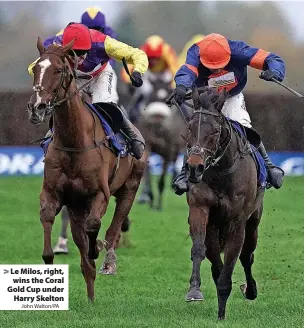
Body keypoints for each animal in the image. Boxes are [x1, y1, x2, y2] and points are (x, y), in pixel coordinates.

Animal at [26, 37, 145, 300]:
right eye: (36, 68)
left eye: (58, 70)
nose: (37, 107)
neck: (75, 142)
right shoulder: (56, 193)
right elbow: (48, 219)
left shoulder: (99, 194)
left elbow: (94, 226)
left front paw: (96, 249)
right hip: (76, 205)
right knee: (83, 249)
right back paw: (90, 293)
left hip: (129, 188)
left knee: (113, 229)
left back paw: (107, 261)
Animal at [183, 88, 264, 320]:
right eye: (190, 127)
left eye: (215, 130)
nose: (194, 168)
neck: (221, 173)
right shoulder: (200, 209)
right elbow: (199, 249)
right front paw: (194, 290)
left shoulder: (237, 222)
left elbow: (232, 258)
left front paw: (221, 312)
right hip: (214, 227)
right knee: (213, 255)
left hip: (253, 222)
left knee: (247, 255)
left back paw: (250, 289)